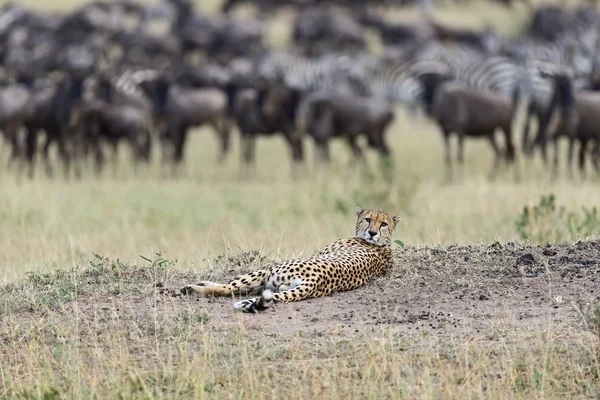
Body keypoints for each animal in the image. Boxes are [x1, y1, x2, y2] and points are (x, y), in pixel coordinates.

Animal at [180, 206, 400, 312]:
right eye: (368, 220)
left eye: (383, 224)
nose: (372, 233)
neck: (383, 245)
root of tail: (318, 279)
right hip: (275, 283)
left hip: (269, 271)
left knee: (228, 288)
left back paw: (193, 288)